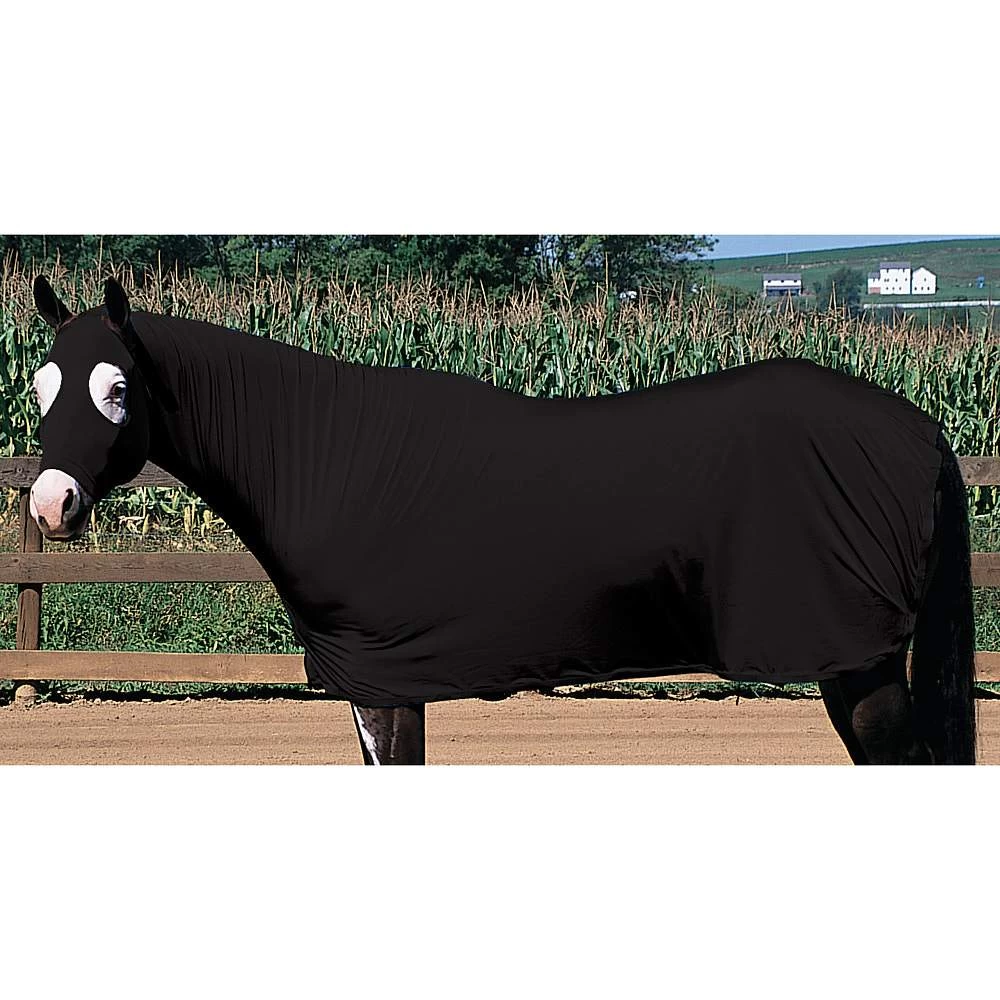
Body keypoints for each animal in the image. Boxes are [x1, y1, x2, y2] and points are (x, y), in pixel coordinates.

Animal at [25, 275, 976, 764]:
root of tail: (921, 428)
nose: (49, 504)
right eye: (37, 384)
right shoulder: (372, 687)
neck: (329, 460)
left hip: (861, 666)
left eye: (117, 388)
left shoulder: (388, 682)